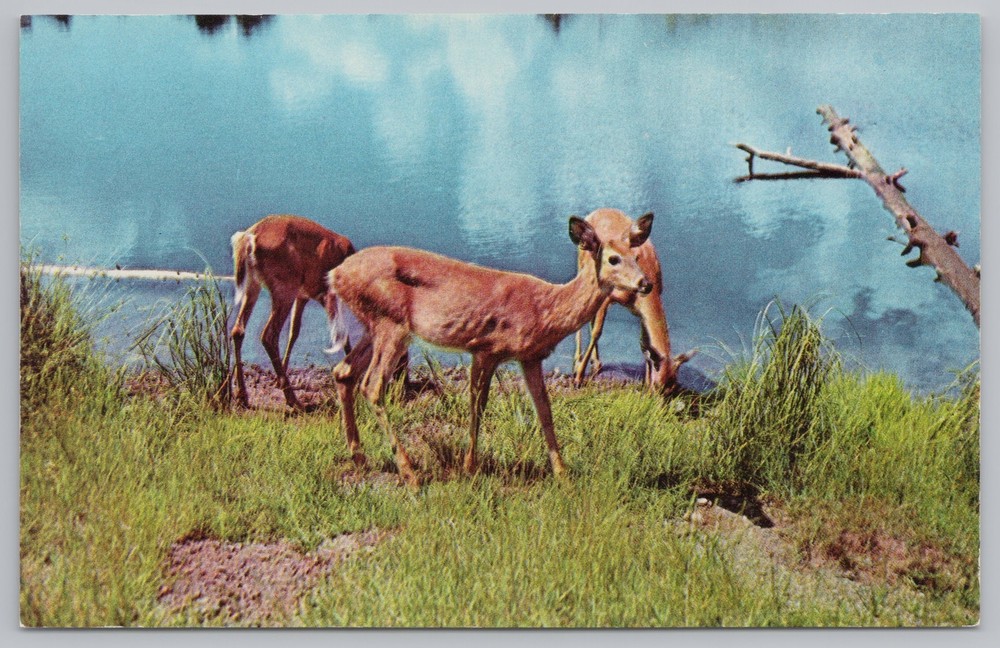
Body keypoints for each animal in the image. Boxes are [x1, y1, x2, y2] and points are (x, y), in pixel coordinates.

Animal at [229, 214, 356, 410]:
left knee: (238, 330)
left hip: (254, 285)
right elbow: (342, 334)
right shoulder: (326, 294)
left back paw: (243, 396)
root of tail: (249, 238)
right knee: (268, 335)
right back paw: (293, 400)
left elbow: (294, 331)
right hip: (285, 287)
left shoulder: (302, 296)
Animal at [324, 209, 655, 486]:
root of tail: (335, 274)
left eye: (636, 256)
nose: (645, 284)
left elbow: (544, 410)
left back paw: (360, 457)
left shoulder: (529, 357)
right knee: (371, 386)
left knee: (343, 371)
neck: (545, 309)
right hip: (390, 323)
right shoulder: (486, 349)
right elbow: (478, 406)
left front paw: (562, 474)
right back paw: (410, 475)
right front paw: (470, 467)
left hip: (374, 325)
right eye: (613, 259)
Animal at [572, 208, 694, 395]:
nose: (654, 399)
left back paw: (596, 363)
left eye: (673, 387)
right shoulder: (608, 296)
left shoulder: (639, 312)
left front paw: (645, 381)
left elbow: (644, 345)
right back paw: (577, 363)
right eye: (659, 386)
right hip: (581, 267)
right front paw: (578, 378)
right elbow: (597, 332)